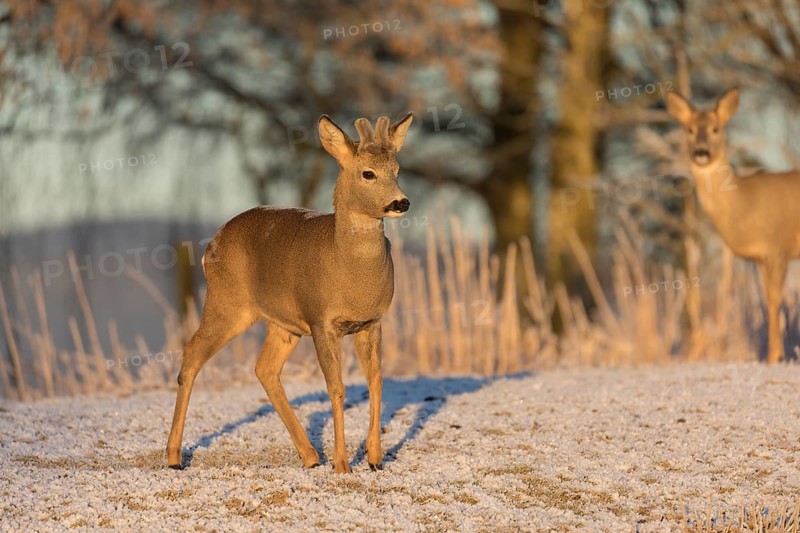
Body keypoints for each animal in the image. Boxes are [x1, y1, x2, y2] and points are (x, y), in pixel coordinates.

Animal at [166, 112, 414, 473]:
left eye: (397, 169)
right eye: (368, 173)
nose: (401, 202)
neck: (347, 268)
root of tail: (211, 244)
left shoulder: (372, 321)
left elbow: (376, 382)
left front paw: (375, 459)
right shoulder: (321, 320)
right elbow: (336, 388)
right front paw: (342, 465)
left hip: (282, 324)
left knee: (264, 369)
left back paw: (310, 455)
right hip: (227, 302)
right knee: (192, 354)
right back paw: (172, 456)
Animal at [666, 87, 800, 364]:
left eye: (716, 129)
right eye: (689, 130)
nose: (701, 152)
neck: (745, 203)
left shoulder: (777, 246)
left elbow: (774, 299)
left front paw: (774, 357)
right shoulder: (761, 257)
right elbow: (768, 299)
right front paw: (775, 354)